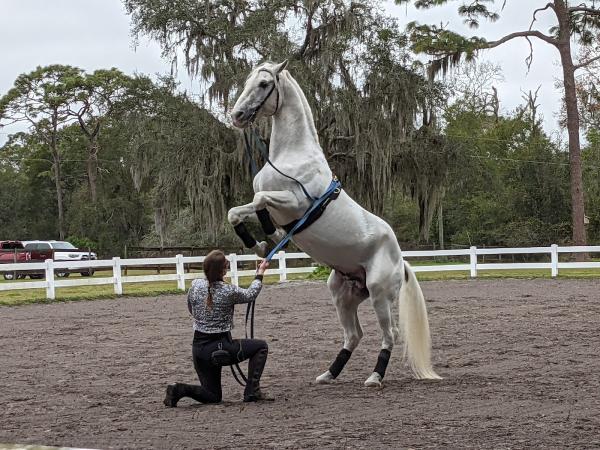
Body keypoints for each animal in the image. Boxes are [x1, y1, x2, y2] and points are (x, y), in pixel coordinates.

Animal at [227, 60, 438, 386]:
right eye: (248, 81)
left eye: (264, 84)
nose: (236, 116)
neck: (291, 156)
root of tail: (400, 260)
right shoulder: (272, 206)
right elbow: (238, 211)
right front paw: (261, 244)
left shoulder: (294, 204)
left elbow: (260, 199)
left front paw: (263, 240)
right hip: (343, 294)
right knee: (353, 335)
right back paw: (329, 373)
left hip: (379, 294)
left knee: (389, 334)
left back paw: (375, 376)